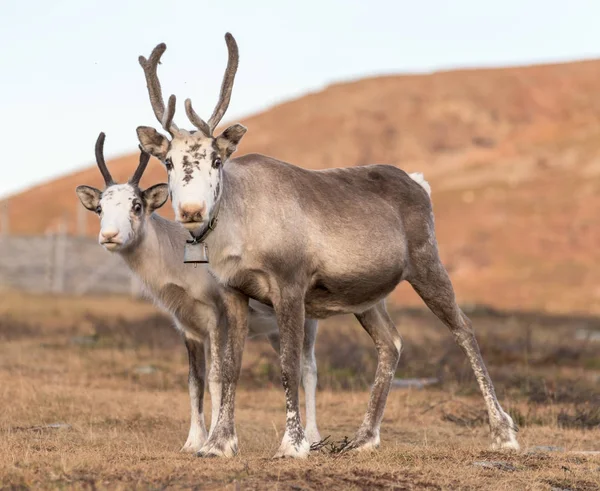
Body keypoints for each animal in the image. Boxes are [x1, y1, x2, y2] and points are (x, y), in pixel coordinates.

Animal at [76, 133, 324, 456]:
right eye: (100, 208)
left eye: (136, 205)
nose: (109, 236)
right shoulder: (188, 327)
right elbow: (195, 381)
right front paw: (192, 441)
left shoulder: (217, 319)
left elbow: (217, 377)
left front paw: (214, 442)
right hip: (272, 331)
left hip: (307, 321)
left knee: (309, 369)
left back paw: (314, 439)